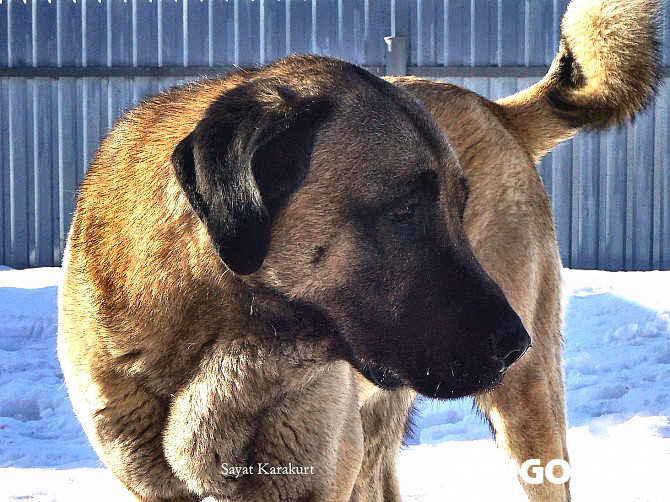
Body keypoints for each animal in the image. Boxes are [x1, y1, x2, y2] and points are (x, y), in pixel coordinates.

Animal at [60, 0, 664, 502]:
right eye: (405, 210)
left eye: (458, 208)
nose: (516, 344)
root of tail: (492, 106)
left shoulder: (315, 472)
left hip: (527, 410)